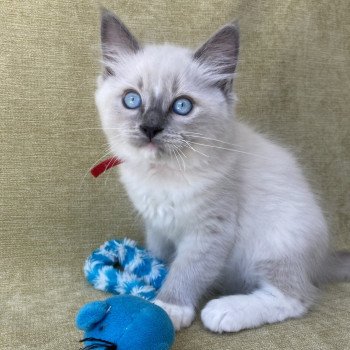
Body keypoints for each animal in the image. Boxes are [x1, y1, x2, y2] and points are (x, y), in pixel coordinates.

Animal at [93, 9, 350, 332]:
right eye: (132, 100)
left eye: (182, 106)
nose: (150, 128)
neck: (162, 176)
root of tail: (322, 258)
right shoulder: (157, 227)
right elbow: (160, 257)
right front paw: (149, 274)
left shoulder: (211, 231)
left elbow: (187, 271)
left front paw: (167, 308)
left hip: (273, 241)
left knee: (296, 297)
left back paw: (224, 311)